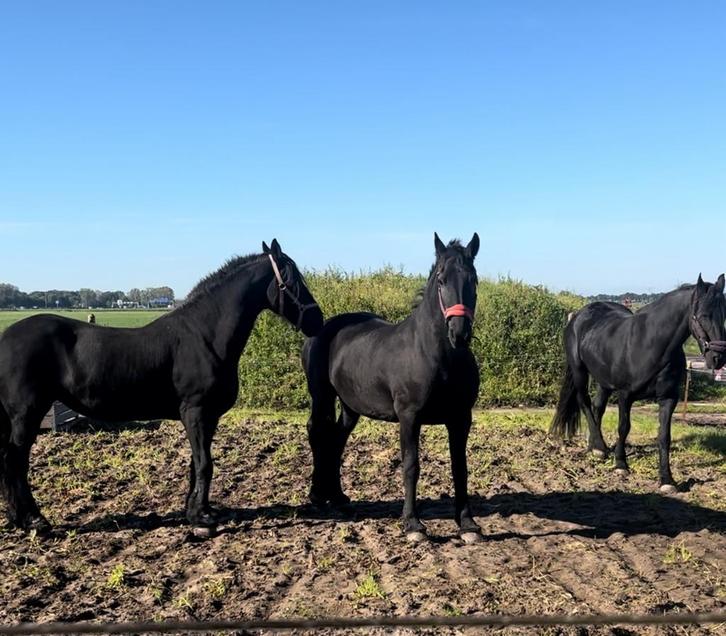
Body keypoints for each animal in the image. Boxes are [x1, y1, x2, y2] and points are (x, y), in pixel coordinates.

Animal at [0, 239, 323, 534]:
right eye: (292, 280)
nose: (317, 320)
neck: (205, 336)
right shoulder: (195, 412)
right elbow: (205, 464)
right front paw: (202, 521)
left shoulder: (207, 417)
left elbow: (197, 463)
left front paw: (198, 511)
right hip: (27, 414)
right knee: (16, 461)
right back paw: (34, 521)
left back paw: (19, 519)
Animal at [303, 233, 482, 543]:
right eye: (441, 280)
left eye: (474, 279)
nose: (459, 333)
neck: (437, 356)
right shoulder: (409, 417)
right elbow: (411, 466)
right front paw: (413, 524)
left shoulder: (461, 418)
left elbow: (460, 467)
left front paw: (467, 524)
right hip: (321, 396)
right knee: (317, 433)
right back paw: (317, 495)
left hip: (350, 407)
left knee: (337, 439)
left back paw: (338, 497)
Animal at [550, 274, 726, 492]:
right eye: (703, 315)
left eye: (723, 315)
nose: (718, 358)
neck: (651, 344)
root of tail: (578, 316)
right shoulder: (625, 395)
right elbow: (623, 427)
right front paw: (620, 464)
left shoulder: (668, 398)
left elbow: (664, 436)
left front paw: (667, 480)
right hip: (579, 371)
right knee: (585, 402)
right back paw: (599, 448)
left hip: (603, 381)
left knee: (597, 408)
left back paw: (594, 446)